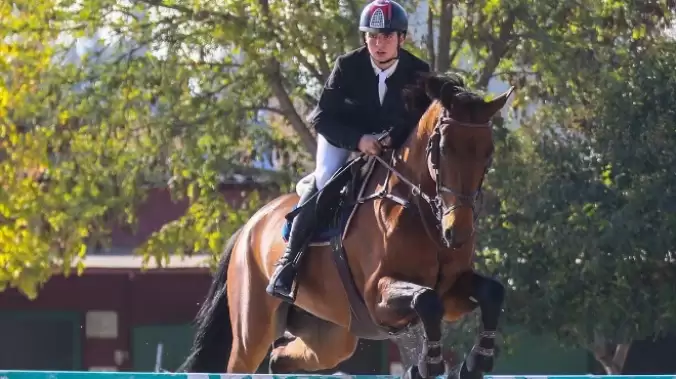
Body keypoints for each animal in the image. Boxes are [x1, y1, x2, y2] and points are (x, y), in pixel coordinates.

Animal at [178, 72, 512, 379]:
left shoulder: (452, 291)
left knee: (281, 357)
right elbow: (426, 301)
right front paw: (428, 365)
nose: (457, 233)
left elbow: (492, 292)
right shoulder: (378, 297)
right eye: (442, 149)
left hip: (331, 337)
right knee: (242, 361)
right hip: (253, 330)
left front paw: (476, 362)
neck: (420, 211)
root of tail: (249, 228)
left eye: (488, 152)